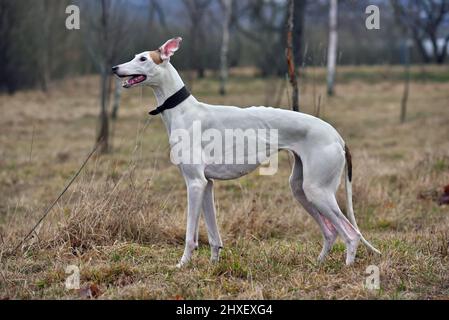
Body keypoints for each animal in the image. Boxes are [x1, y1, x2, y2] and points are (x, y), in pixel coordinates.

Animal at [114, 37, 380, 268]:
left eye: (143, 58)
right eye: (135, 56)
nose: (115, 68)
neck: (182, 109)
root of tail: (338, 136)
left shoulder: (195, 183)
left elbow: (190, 235)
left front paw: (182, 265)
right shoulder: (207, 185)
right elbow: (214, 235)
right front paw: (213, 265)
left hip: (318, 191)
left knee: (351, 233)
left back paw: (347, 265)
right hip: (301, 189)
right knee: (330, 231)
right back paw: (319, 263)